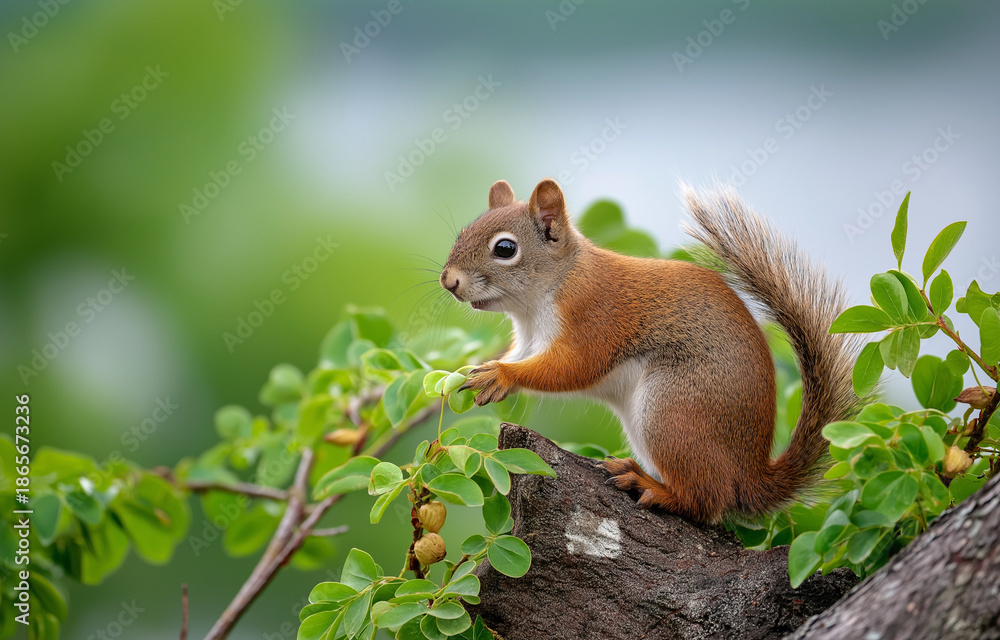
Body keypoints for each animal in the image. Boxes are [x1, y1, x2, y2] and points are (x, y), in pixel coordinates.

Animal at [439, 178, 861, 523]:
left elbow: (574, 367)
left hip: (671, 410)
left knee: (706, 502)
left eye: (505, 248)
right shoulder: (526, 342)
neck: (545, 293)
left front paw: (501, 375)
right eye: (463, 233)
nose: (448, 281)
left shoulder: (594, 318)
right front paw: (470, 372)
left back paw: (651, 487)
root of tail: (751, 473)